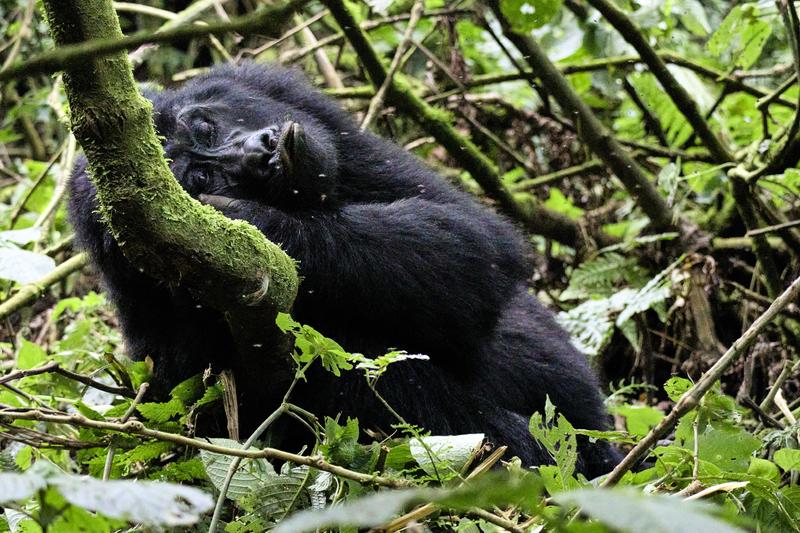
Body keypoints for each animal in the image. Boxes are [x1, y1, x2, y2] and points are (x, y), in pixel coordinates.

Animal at [69, 62, 620, 478]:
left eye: (205, 127)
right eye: (201, 177)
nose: (262, 151)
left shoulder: (278, 90)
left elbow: (475, 239)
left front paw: (259, 223)